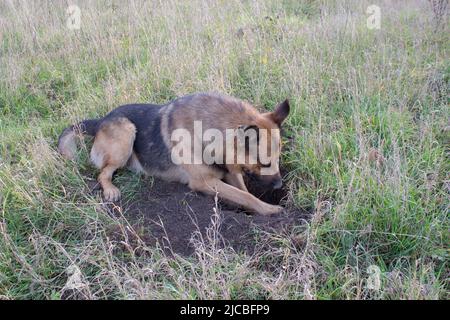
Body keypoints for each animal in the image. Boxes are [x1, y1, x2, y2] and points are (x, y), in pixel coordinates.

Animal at [58, 92, 290, 215]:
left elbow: (244, 192)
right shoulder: (204, 182)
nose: (280, 185)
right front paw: (270, 210)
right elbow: (245, 195)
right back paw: (110, 189)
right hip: (126, 132)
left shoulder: (231, 171)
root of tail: (100, 120)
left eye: (278, 158)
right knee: (103, 173)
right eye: (264, 162)